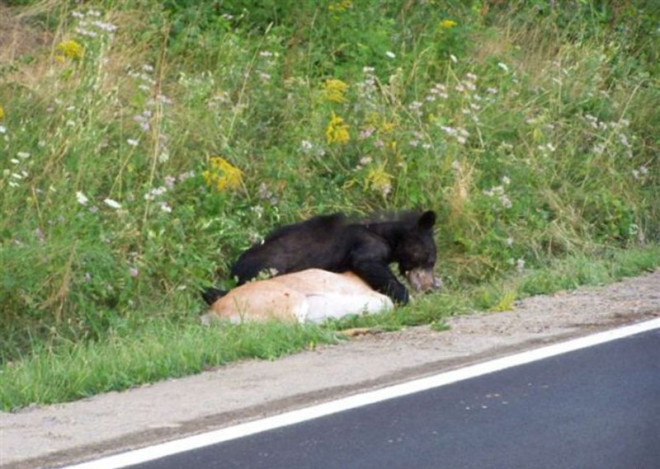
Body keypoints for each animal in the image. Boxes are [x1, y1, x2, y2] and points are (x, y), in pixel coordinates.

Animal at [228, 210, 438, 306]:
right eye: (430, 260)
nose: (431, 286)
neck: (388, 236)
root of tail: (234, 270)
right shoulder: (366, 244)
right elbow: (367, 262)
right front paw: (405, 297)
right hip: (270, 266)